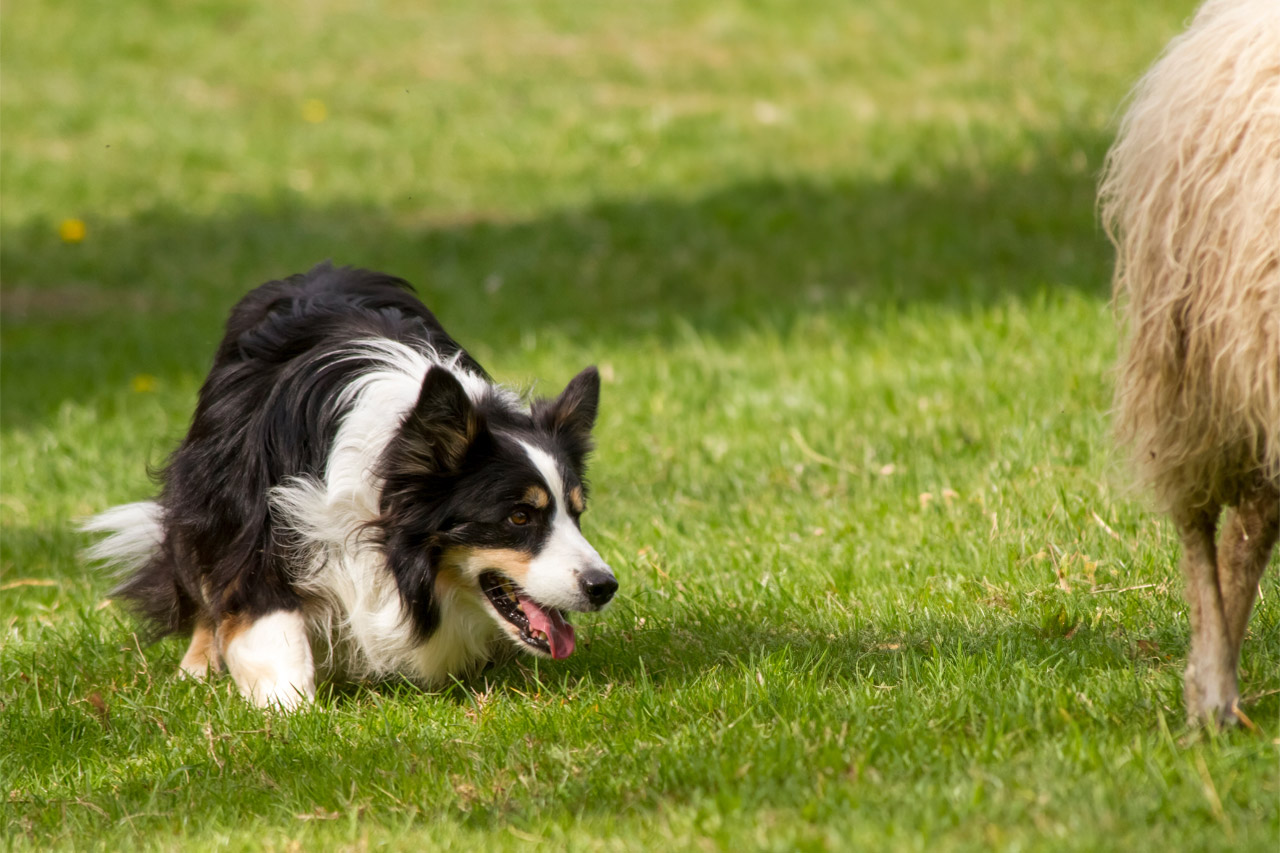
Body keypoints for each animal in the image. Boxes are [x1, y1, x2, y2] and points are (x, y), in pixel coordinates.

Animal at [85, 262, 614, 706]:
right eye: (519, 516)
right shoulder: (254, 514)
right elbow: (267, 618)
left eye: (577, 512)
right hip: (202, 486)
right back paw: (196, 668)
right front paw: (289, 711)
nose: (604, 586)